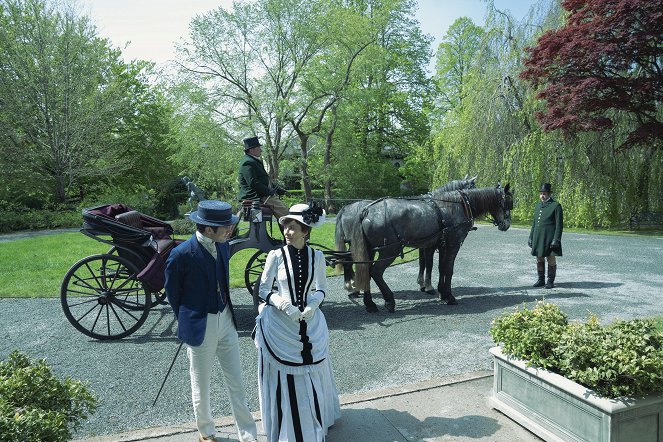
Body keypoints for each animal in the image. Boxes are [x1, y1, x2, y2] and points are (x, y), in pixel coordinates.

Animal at [334, 178, 480, 298]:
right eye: (474, 186)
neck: (441, 208)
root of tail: (347, 208)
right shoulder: (430, 245)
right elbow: (429, 264)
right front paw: (428, 286)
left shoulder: (425, 245)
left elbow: (423, 263)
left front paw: (422, 284)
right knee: (350, 260)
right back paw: (352, 287)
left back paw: (353, 286)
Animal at [350, 185, 510, 312]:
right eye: (508, 202)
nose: (506, 225)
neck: (459, 205)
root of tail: (366, 211)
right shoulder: (453, 244)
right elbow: (449, 269)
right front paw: (449, 296)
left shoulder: (442, 244)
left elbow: (441, 268)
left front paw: (442, 293)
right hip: (389, 250)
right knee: (376, 272)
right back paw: (389, 300)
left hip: (370, 251)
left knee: (366, 271)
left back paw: (370, 304)